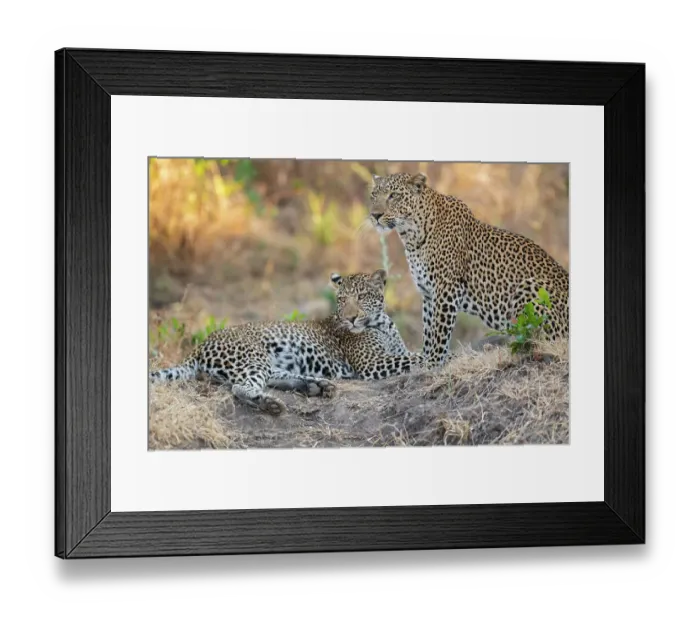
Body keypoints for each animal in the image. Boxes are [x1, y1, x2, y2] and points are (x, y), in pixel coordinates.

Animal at [149, 269, 422, 415]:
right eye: (342, 299)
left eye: (363, 296)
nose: (351, 318)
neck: (382, 322)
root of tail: (197, 348)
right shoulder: (372, 363)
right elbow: (417, 357)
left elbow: (410, 354)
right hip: (252, 356)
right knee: (241, 387)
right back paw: (269, 403)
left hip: (265, 362)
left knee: (272, 377)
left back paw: (316, 386)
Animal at [368, 172, 569, 367]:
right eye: (373, 195)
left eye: (393, 195)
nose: (375, 215)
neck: (411, 236)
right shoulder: (428, 293)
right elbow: (428, 329)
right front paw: (426, 358)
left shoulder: (447, 287)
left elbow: (439, 330)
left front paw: (433, 362)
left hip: (531, 286)